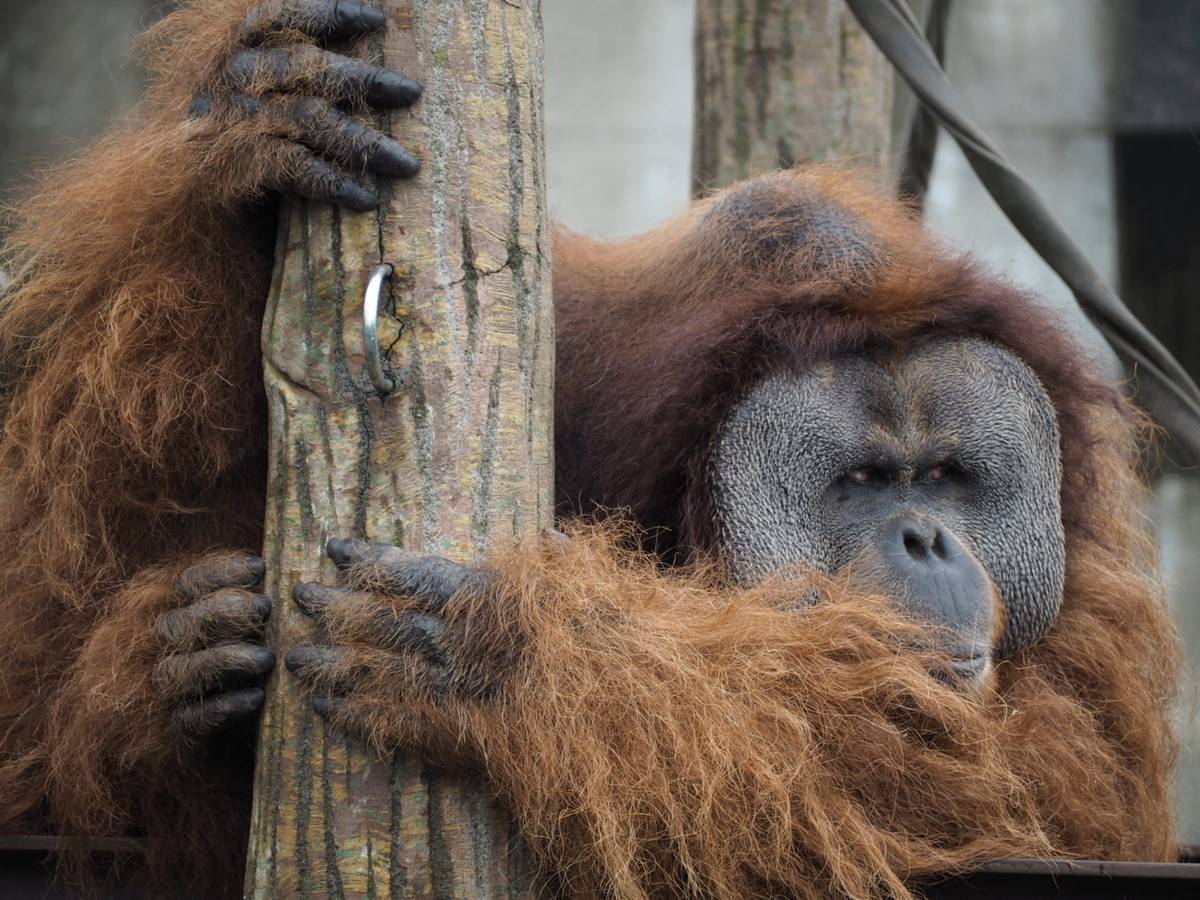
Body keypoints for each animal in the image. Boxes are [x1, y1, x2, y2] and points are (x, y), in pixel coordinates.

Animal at [0, 1, 1180, 898]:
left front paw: (513, 651)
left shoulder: (1092, 600)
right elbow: (55, 596)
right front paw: (254, 124)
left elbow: (1006, 786)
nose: (927, 537)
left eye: (946, 478)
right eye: (863, 482)